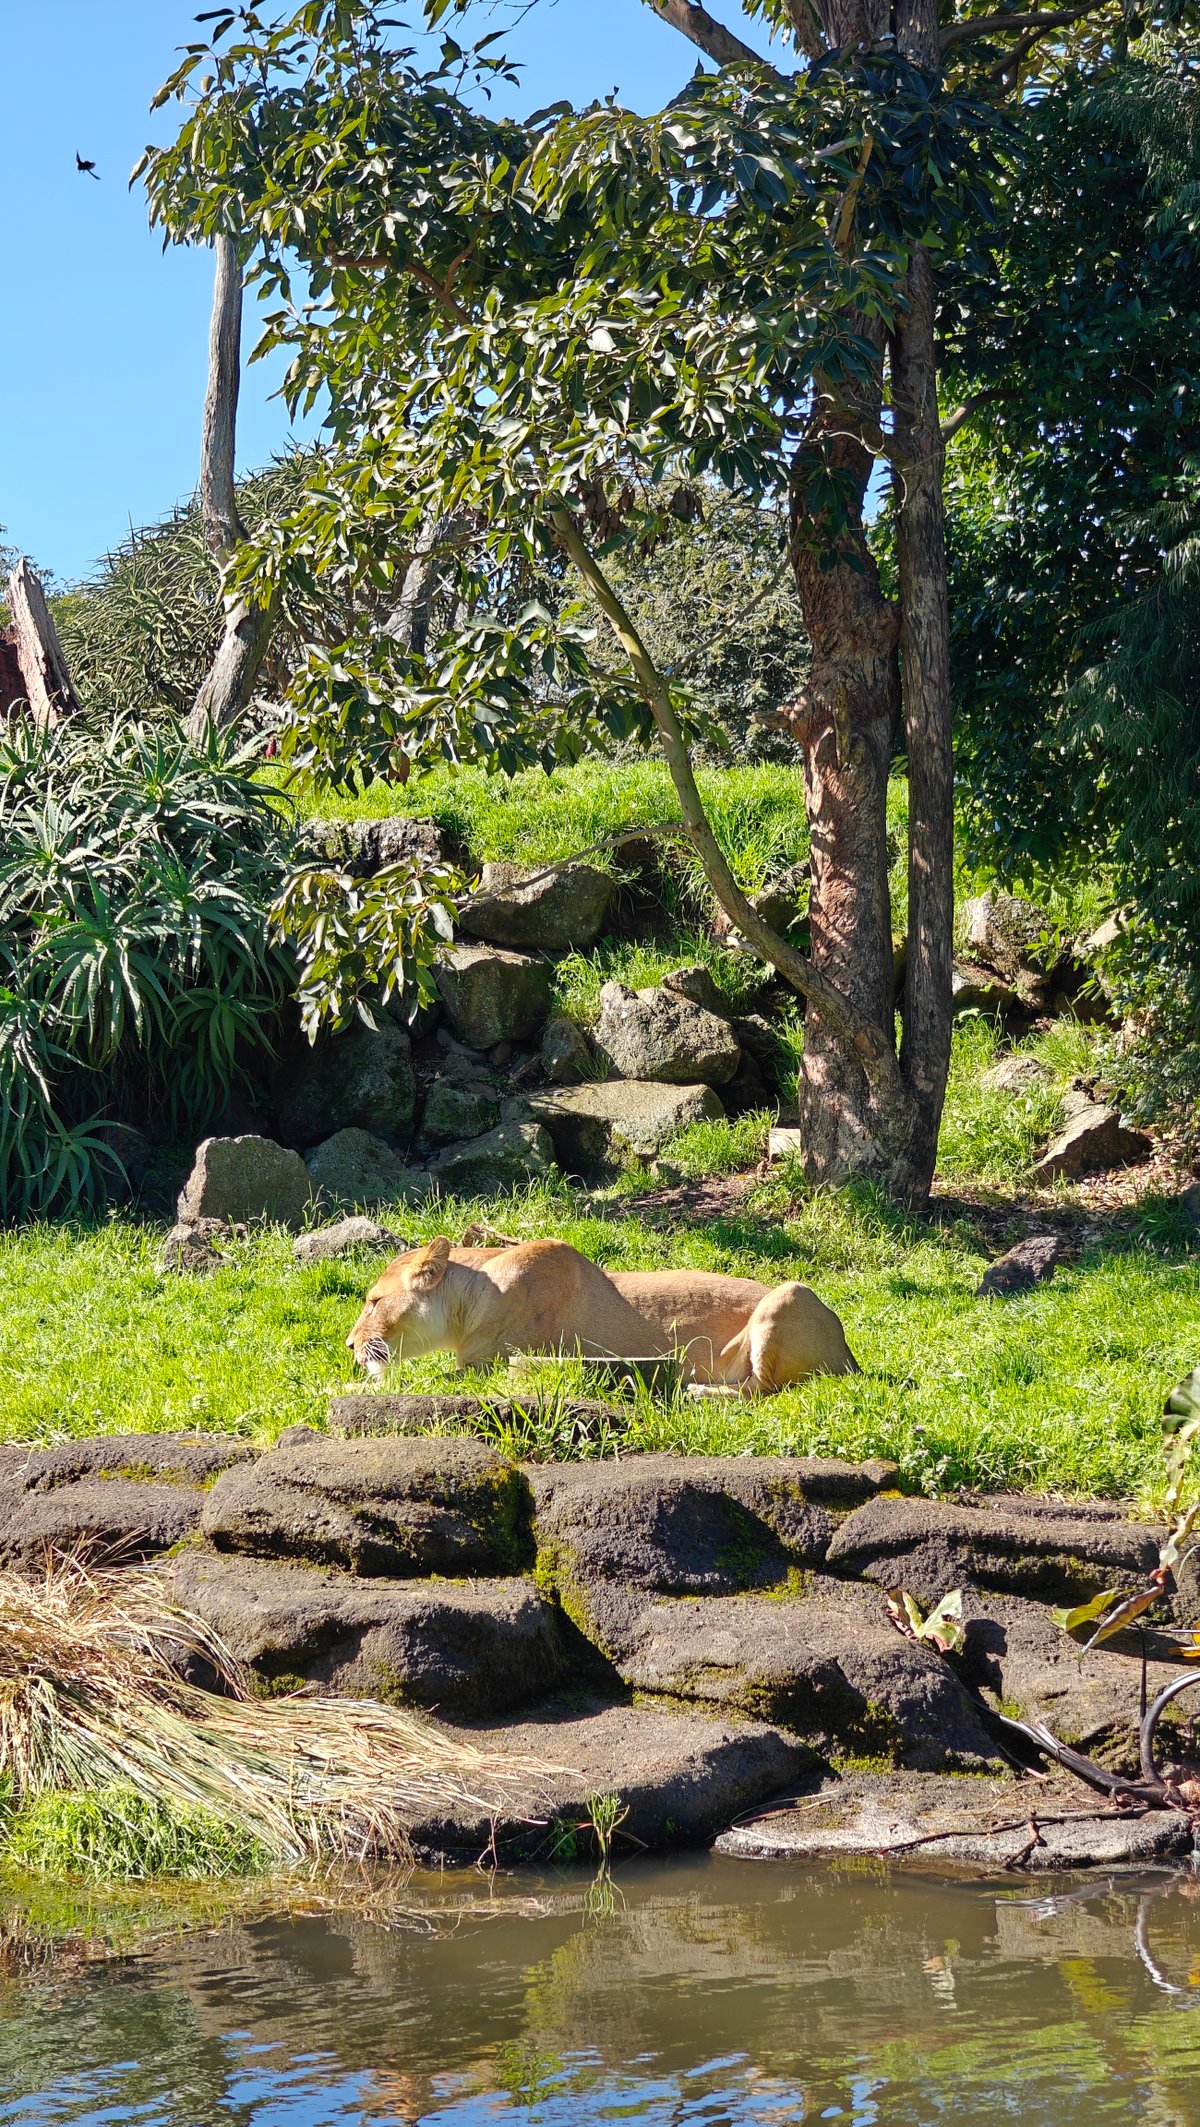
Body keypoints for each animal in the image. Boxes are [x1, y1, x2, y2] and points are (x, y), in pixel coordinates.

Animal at [346, 1236, 858, 1395]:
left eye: (372, 1301)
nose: (350, 1345)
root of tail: (850, 1352)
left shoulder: (487, 1365)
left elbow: (424, 1380)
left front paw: (347, 1386)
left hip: (788, 1295)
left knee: (764, 1390)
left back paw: (696, 1391)